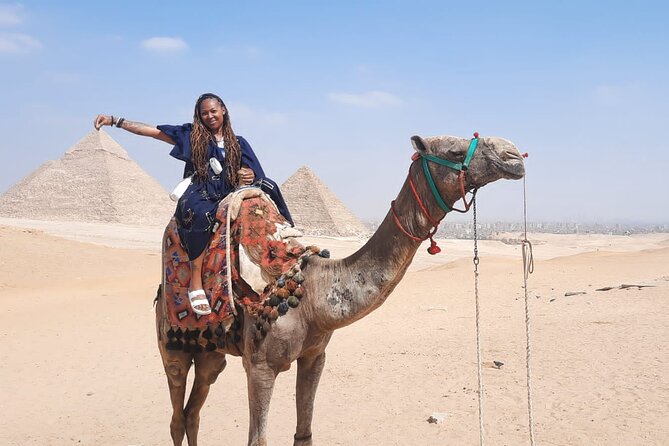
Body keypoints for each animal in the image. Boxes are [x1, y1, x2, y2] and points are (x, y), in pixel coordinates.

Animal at [155, 133, 526, 445]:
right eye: (454, 151)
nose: (513, 155)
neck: (314, 296)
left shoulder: (315, 357)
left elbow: (304, 434)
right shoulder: (259, 366)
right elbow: (257, 440)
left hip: (210, 353)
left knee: (192, 413)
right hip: (172, 348)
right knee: (176, 416)